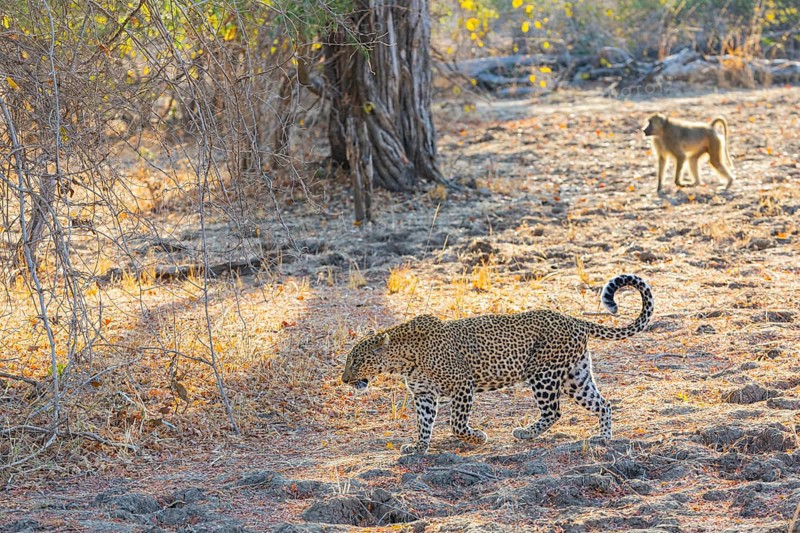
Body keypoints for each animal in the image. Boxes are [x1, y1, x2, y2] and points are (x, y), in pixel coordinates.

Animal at [341, 274, 654, 454]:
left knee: (553, 411)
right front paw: (418, 446)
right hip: (575, 376)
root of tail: (572, 319)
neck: (402, 360)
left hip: (543, 374)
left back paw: (524, 433)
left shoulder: (462, 384)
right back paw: (604, 438)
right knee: (604, 404)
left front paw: (477, 438)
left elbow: (456, 423)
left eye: (356, 360)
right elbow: (424, 423)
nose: (344, 380)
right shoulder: (424, 394)